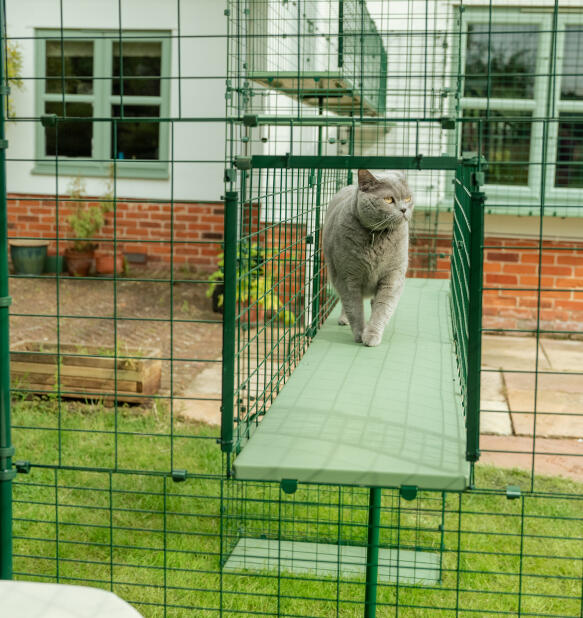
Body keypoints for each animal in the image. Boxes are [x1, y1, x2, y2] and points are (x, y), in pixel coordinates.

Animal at [324, 171, 416, 344]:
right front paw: (360, 334)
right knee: (345, 303)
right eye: (388, 199)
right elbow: (354, 308)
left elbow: (382, 307)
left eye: (408, 198)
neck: (376, 237)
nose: (404, 209)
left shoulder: (392, 276)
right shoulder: (347, 277)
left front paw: (372, 335)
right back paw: (343, 319)